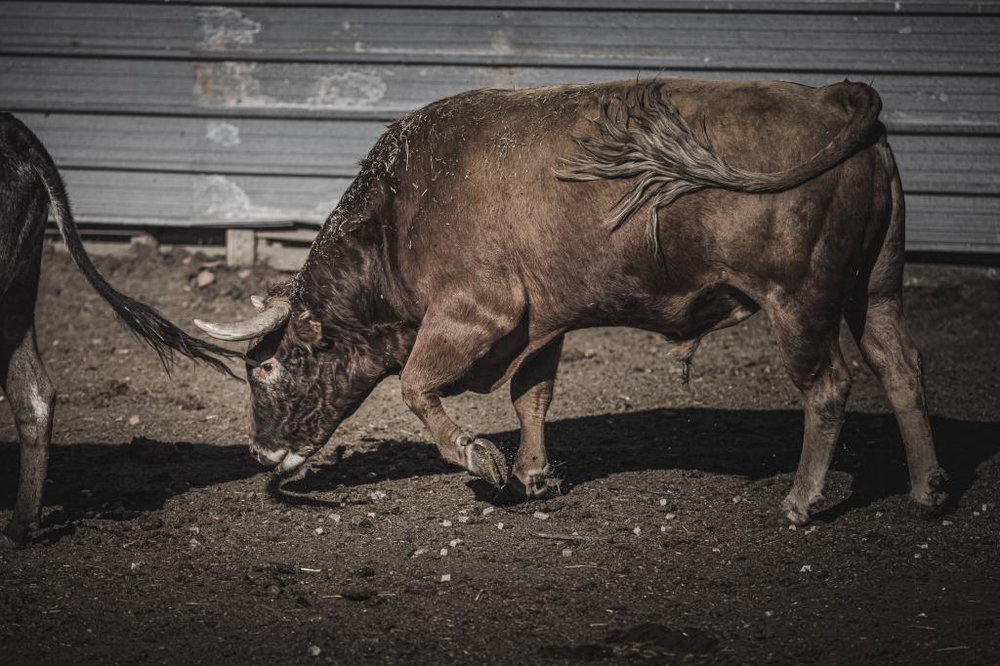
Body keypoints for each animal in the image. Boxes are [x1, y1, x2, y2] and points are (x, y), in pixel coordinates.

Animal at [195, 78, 944, 520]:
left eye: (266, 368)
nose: (260, 454)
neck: (403, 208)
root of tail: (834, 96)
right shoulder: (540, 320)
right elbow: (532, 395)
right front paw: (533, 474)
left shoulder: (475, 311)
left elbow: (414, 386)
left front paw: (482, 459)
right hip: (875, 286)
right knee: (900, 367)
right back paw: (929, 488)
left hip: (800, 298)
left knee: (829, 385)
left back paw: (801, 498)